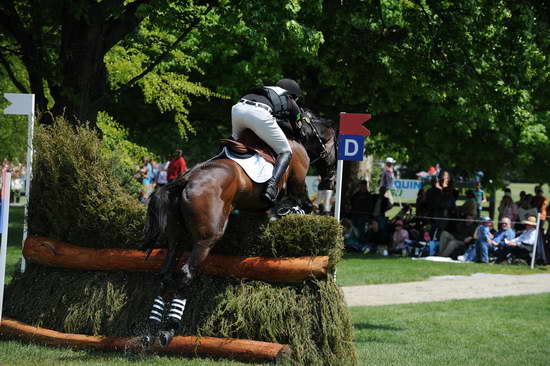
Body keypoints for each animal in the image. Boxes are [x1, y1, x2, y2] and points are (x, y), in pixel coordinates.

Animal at [138, 108, 338, 346]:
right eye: (336, 146)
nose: (330, 182)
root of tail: (185, 181)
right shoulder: (297, 177)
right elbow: (303, 205)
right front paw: (286, 212)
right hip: (207, 239)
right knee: (186, 273)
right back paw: (169, 329)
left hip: (177, 239)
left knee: (165, 274)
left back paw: (150, 329)